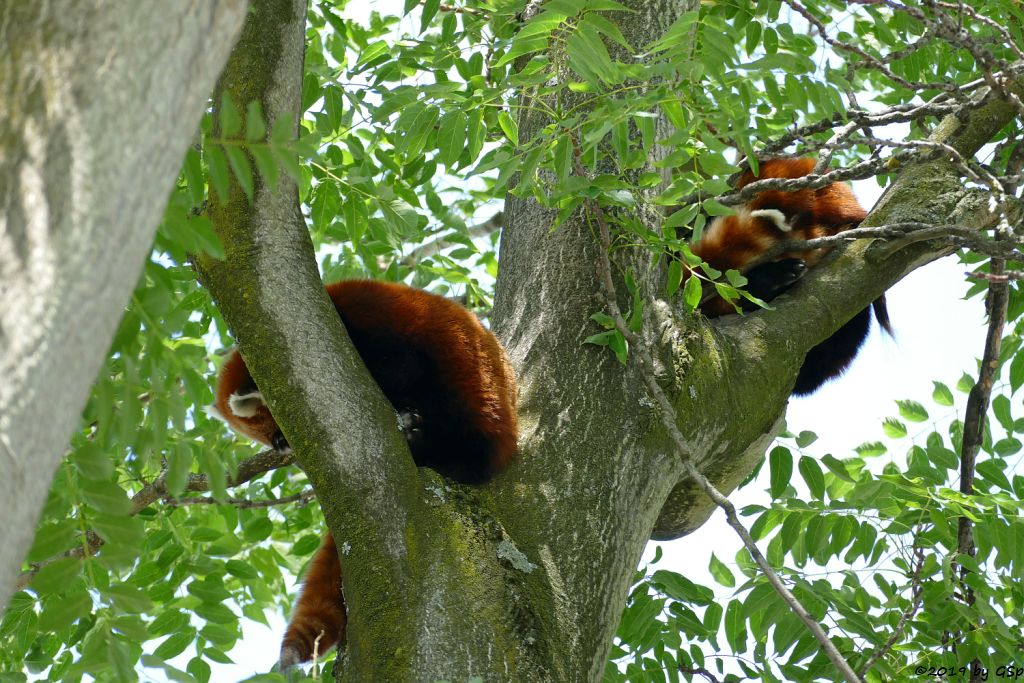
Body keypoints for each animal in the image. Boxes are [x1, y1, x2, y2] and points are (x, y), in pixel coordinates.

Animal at [205, 280, 520, 671]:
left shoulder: (368, 323)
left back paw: (422, 438)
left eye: (278, 432)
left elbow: (402, 369)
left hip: (473, 400)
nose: (284, 448)